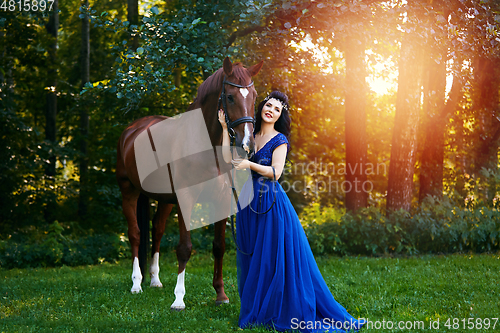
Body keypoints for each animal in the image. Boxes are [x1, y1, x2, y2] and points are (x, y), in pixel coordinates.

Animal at [114, 57, 262, 308]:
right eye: (230, 96)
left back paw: (154, 280)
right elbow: (185, 248)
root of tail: (132, 130)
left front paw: (221, 294)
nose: (247, 145)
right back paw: (136, 283)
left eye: (253, 95)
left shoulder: (221, 201)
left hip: (164, 199)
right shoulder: (186, 199)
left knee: (157, 229)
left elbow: (219, 247)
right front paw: (179, 299)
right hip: (129, 191)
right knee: (135, 233)